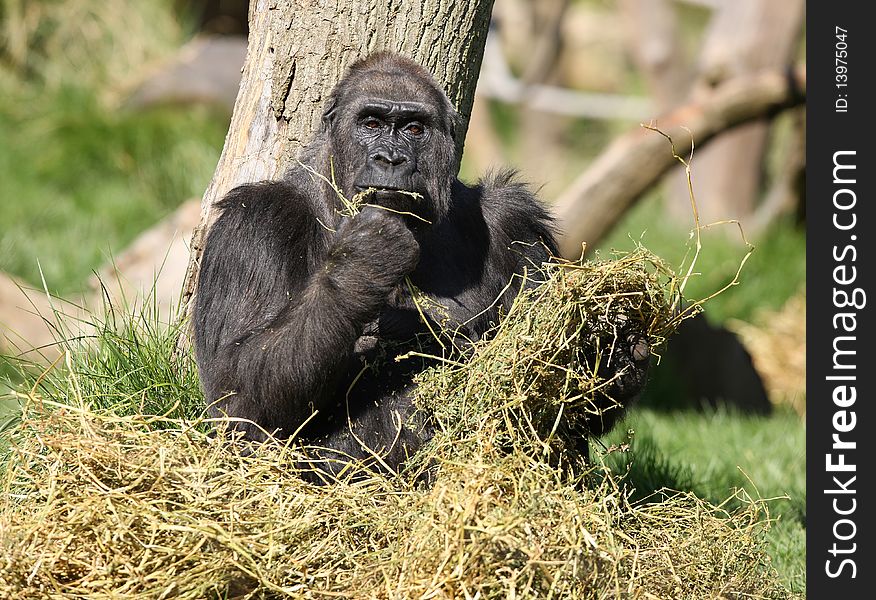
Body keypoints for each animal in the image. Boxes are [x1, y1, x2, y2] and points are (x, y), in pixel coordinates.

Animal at [193, 52, 644, 474]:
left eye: (413, 128)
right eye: (371, 122)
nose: (391, 158)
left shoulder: (515, 221)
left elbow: (560, 396)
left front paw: (612, 349)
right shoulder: (253, 225)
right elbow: (239, 399)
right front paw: (362, 264)